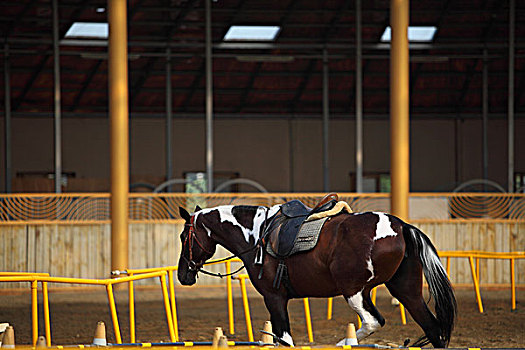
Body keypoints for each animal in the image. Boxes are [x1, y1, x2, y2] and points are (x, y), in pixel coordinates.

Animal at [176, 204, 454, 346]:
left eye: (182, 237)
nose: (182, 275)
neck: (258, 234)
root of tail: (402, 226)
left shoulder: (274, 298)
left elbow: (284, 339)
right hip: (407, 292)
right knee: (433, 329)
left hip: (355, 292)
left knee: (373, 321)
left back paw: (345, 342)